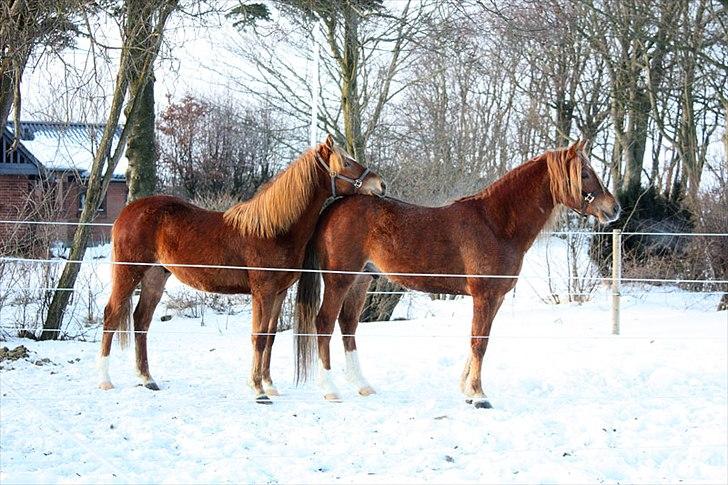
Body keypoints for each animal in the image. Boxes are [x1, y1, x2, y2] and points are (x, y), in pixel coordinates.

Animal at [96, 134, 386, 402]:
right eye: (346, 162)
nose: (380, 185)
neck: (274, 230)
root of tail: (127, 212)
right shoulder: (262, 292)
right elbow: (258, 337)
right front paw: (258, 390)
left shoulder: (278, 293)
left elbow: (269, 336)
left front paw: (269, 384)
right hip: (129, 273)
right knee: (111, 314)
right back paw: (105, 380)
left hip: (155, 277)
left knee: (141, 321)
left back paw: (147, 378)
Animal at [296, 138, 620, 406]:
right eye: (585, 173)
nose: (614, 209)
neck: (496, 224)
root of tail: (333, 208)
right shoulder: (484, 295)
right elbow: (479, 342)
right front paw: (478, 395)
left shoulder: (496, 297)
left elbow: (477, 341)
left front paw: (467, 388)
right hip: (339, 280)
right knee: (323, 323)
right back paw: (330, 390)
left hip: (361, 281)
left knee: (348, 325)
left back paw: (362, 386)